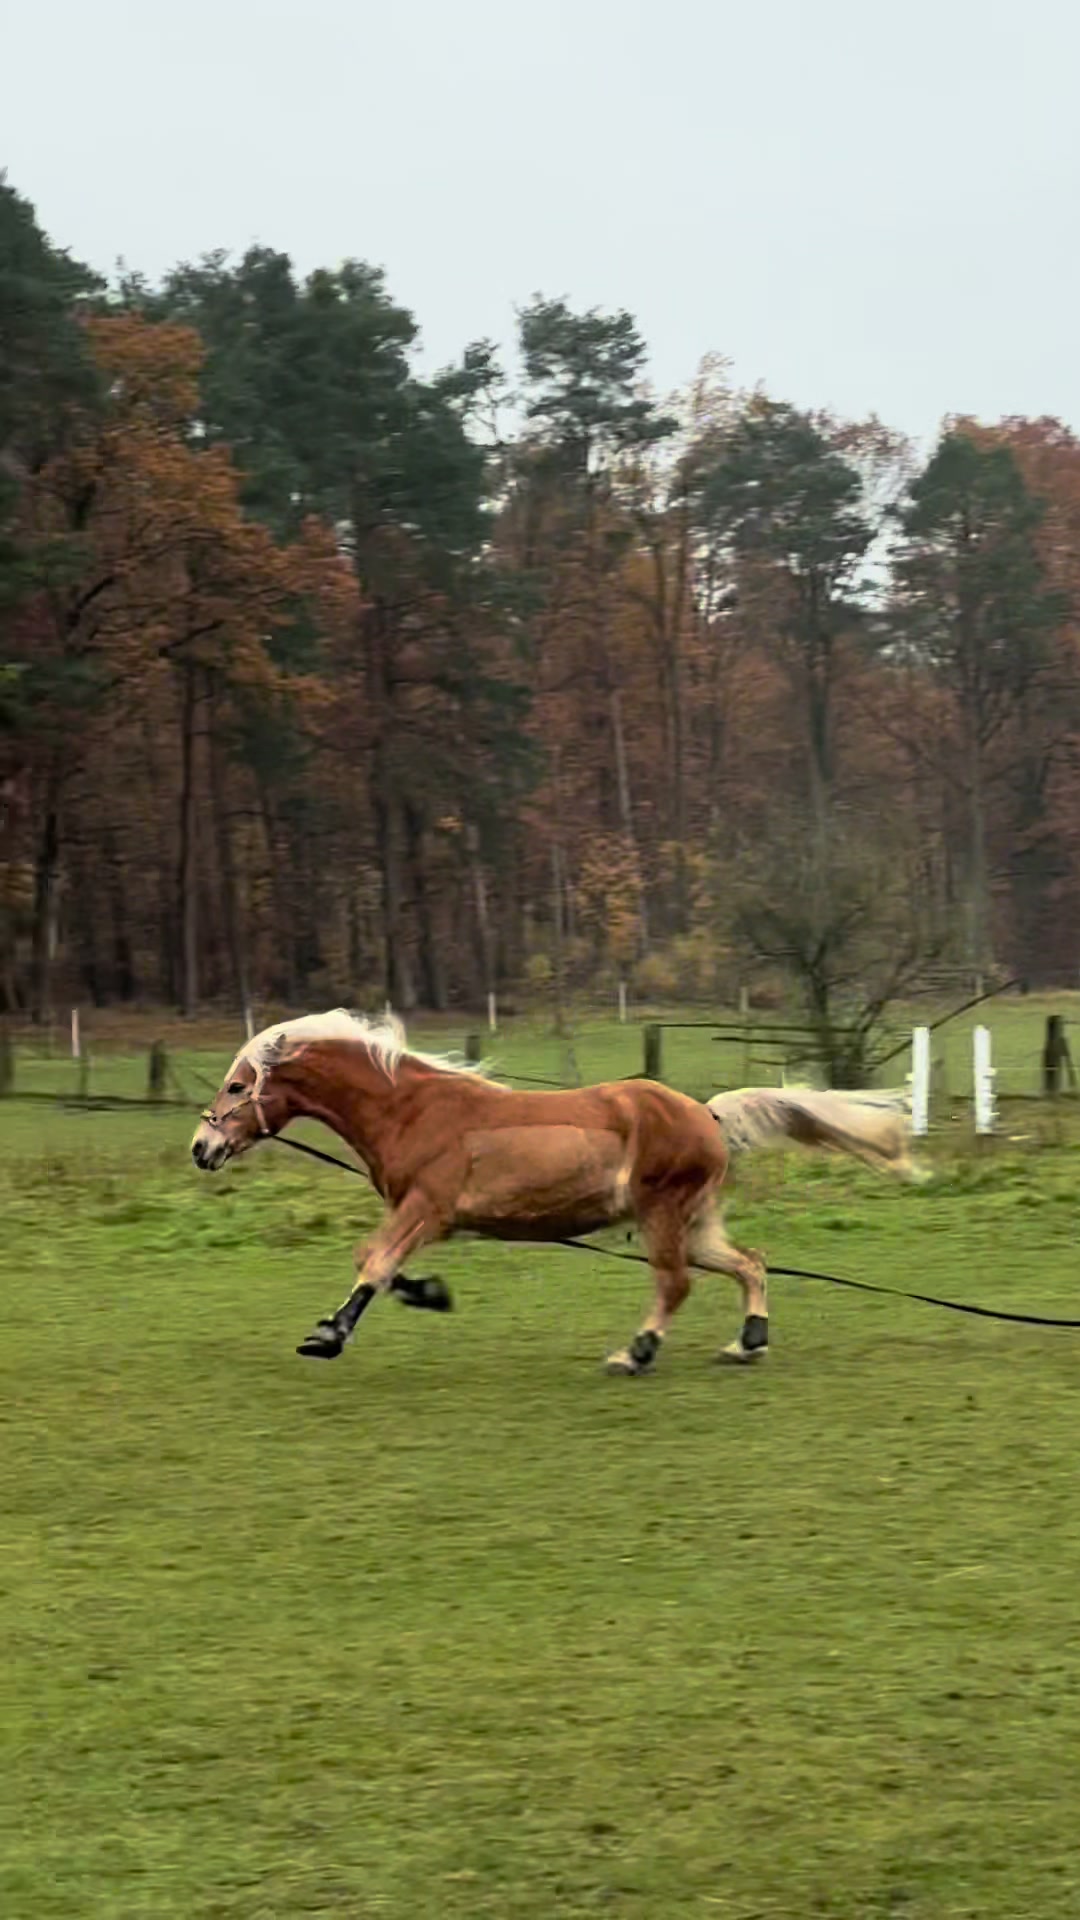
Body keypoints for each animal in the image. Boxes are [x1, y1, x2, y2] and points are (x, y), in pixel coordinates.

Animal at [190, 1011, 917, 1375]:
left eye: (236, 1086)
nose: (202, 1147)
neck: (411, 1110)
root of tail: (706, 1115)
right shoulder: (425, 1217)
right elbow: (383, 1266)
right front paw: (430, 1294)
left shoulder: (426, 1208)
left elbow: (372, 1260)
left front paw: (327, 1336)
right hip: (694, 1222)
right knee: (750, 1264)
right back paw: (747, 1343)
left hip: (663, 1215)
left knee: (676, 1284)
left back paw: (636, 1353)